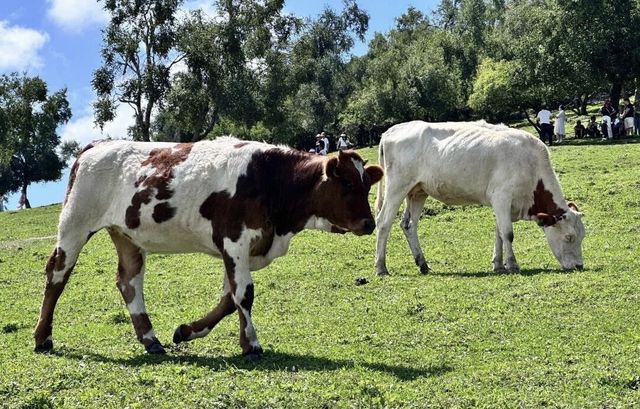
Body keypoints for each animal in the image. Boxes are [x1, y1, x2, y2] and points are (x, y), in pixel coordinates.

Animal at [35, 137, 382, 356]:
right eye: (347, 183)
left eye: (367, 184)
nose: (369, 223)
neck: (270, 180)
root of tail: (96, 145)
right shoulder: (235, 240)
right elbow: (244, 295)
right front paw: (251, 344)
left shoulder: (244, 250)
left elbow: (229, 299)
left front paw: (188, 331)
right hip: (75, 223)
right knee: (57, 275)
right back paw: (43, 338)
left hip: (127, 235)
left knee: (128, 281)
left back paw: (150, 339)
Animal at [376, 119, 584, 276]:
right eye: (569, 237)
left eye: (583, 236)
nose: (579, 266)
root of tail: (392, 130)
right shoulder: (501, 196)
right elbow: (508, 233)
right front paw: (512, 265)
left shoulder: (504, 205)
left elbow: (499, 233)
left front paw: (498, 265)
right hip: (397, 187)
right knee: (383, 222)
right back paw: (381, 267)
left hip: (417, 191)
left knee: (409, 225)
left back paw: (423, 264)